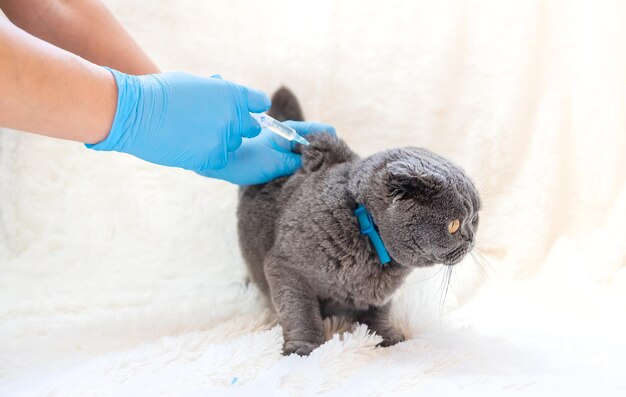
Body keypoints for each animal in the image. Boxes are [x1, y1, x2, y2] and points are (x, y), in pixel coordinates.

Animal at [236, 87, 480, 356]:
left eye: (474, 219)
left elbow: (378, 313)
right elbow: (301, 313)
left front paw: (384, 336)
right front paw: (303, 349)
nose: (470, 237)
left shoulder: (379, 296)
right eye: (454, 225)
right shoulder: (285, 266)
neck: (367, 235)